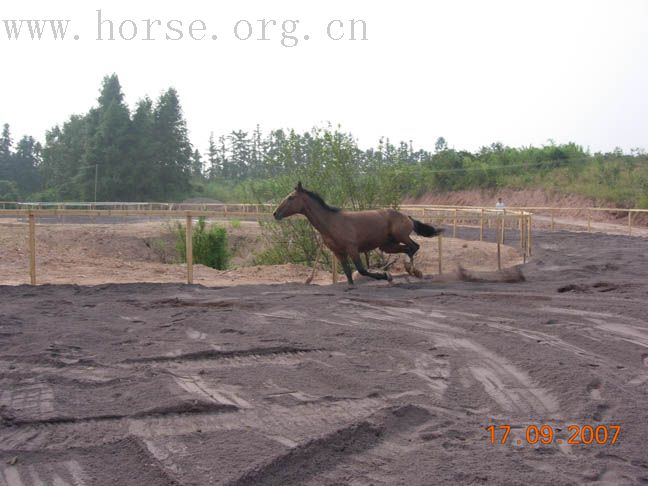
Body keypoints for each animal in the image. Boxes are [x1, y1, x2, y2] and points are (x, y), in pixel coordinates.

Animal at [270, 182, 442, 284]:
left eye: (291, 197)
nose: (275, 213)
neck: (331, 222)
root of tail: (407, 216)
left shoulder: (352, 249)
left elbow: (362, 270)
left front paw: (386, 276)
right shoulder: (339, 253)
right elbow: (347, 274)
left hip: (402, 236)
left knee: (414, 247)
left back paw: (414, 271)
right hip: (388, 246)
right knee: (408, 249)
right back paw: (410, 270)